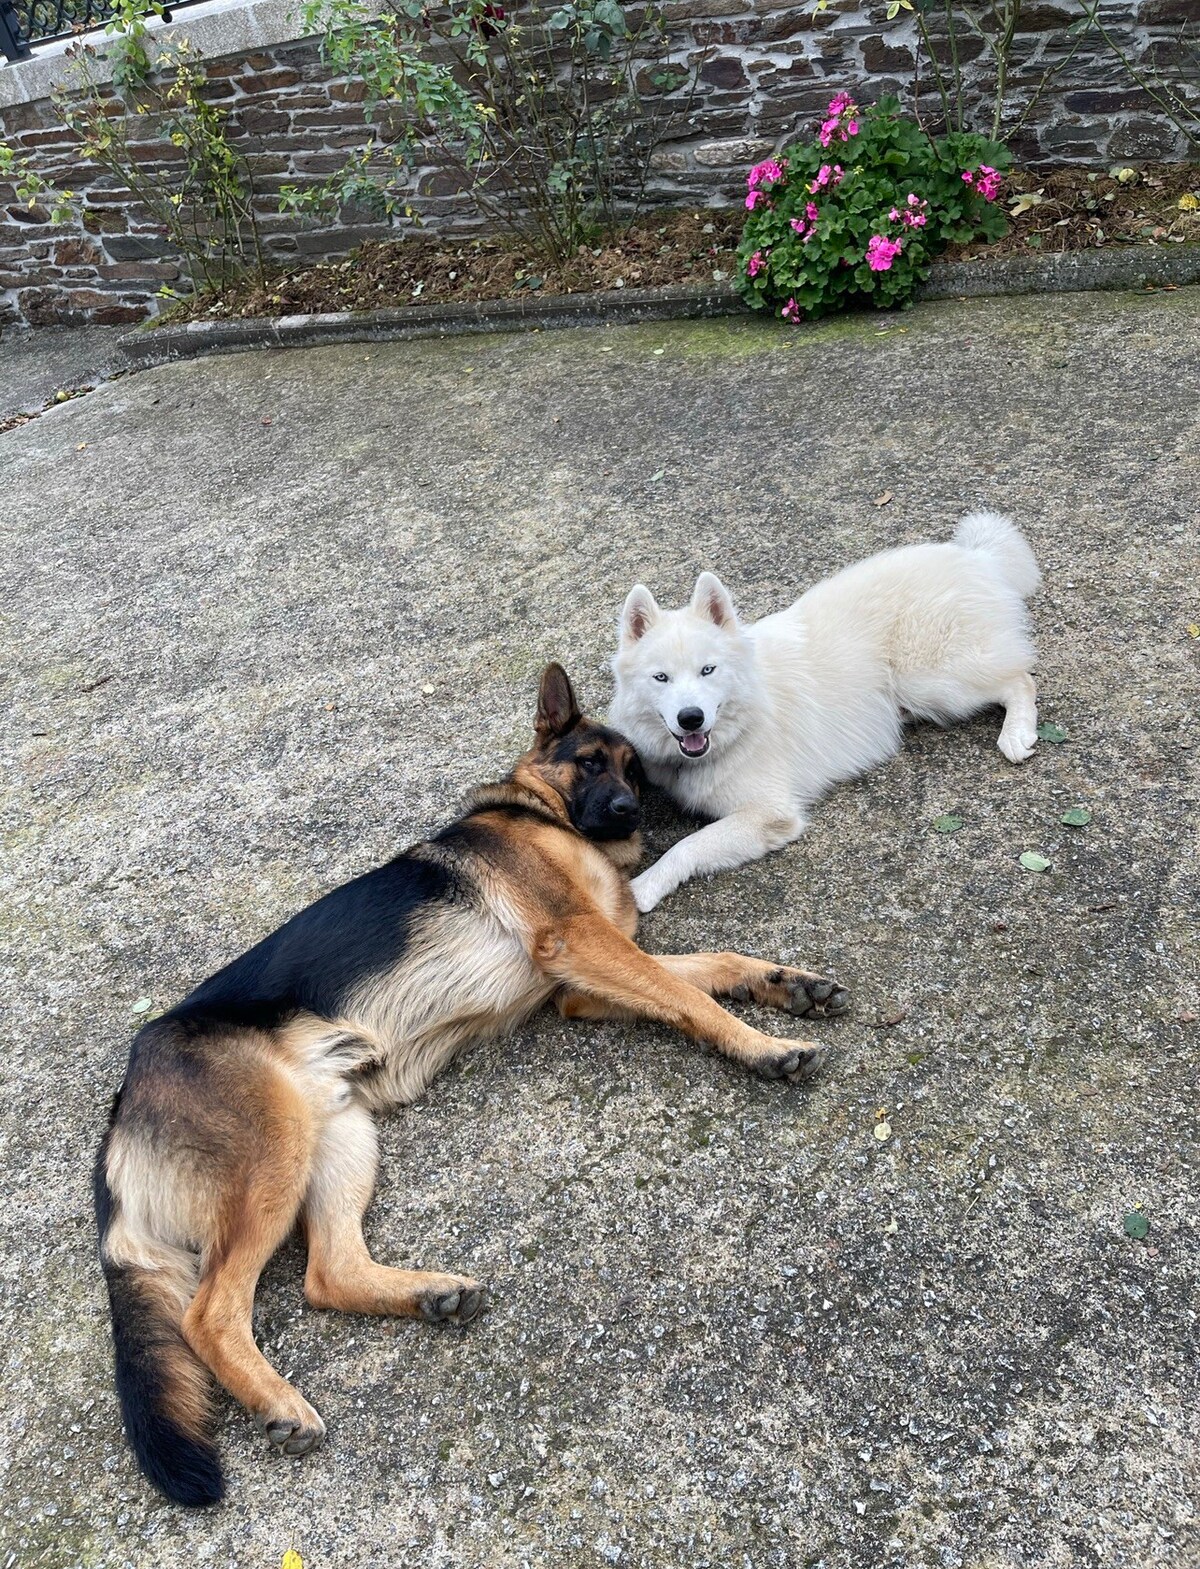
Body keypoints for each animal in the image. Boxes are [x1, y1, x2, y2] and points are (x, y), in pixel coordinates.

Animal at [93, 665, 840, 1506]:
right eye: (590, 762)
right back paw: (280, 1402)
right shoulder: (575, 940)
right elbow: (692, 995)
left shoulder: (577, 986)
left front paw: (785, 984)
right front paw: (763, 1045)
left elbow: (706, 969)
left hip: (340, 1135)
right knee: (210, 1311)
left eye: (635, 772)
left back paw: (429, 1294)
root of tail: (126, 1094)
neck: (543, 813)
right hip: (273, 1156)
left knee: (327, 1274)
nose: (622, 811)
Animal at [608, 508, 1041, 916]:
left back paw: (1016, 734)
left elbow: (688, 845)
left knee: (1020, 679)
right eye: (661, 677)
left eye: (707, 670)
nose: (691, 718)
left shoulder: (770, 814)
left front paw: (643, 887)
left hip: (930, 681)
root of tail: (975, 556)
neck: (738, 726)